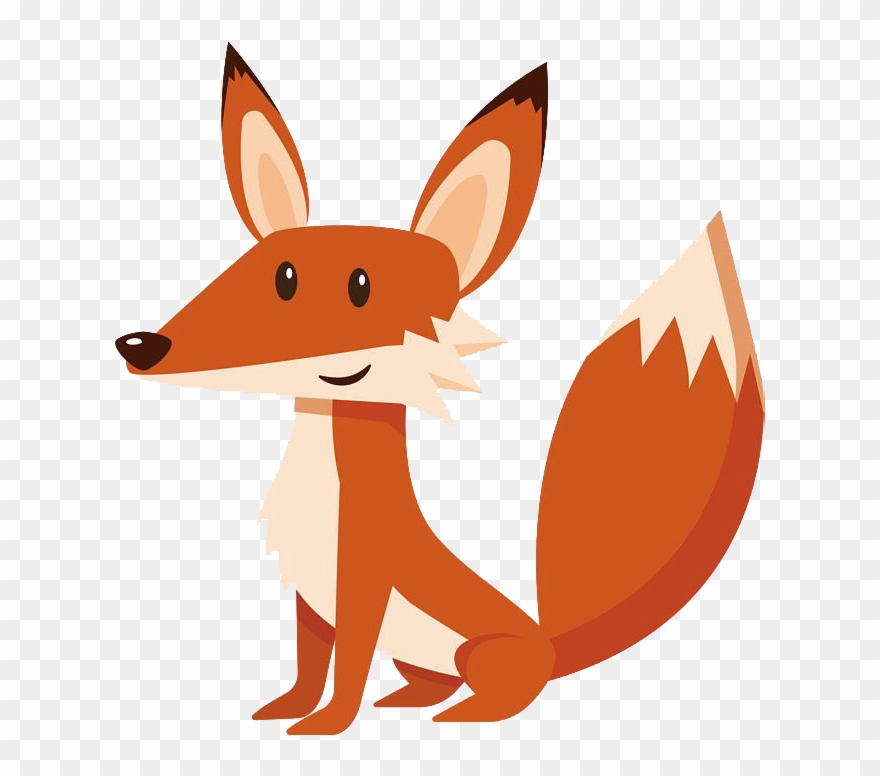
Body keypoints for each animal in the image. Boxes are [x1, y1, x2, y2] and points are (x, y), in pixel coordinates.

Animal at [116, 45, 765, 735]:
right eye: (262, 272)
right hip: (418, 656)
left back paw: (465, 714)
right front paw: (286, 709)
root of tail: (546, 642)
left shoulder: (363, 582)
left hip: (478, 651)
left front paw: (328, 724)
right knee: (428, 680)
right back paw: (409, 699)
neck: (321, 484)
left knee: (500, 692)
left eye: (358, 287)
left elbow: (347, 669)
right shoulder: (312, 598)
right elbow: (309, 666)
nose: (142, 345)